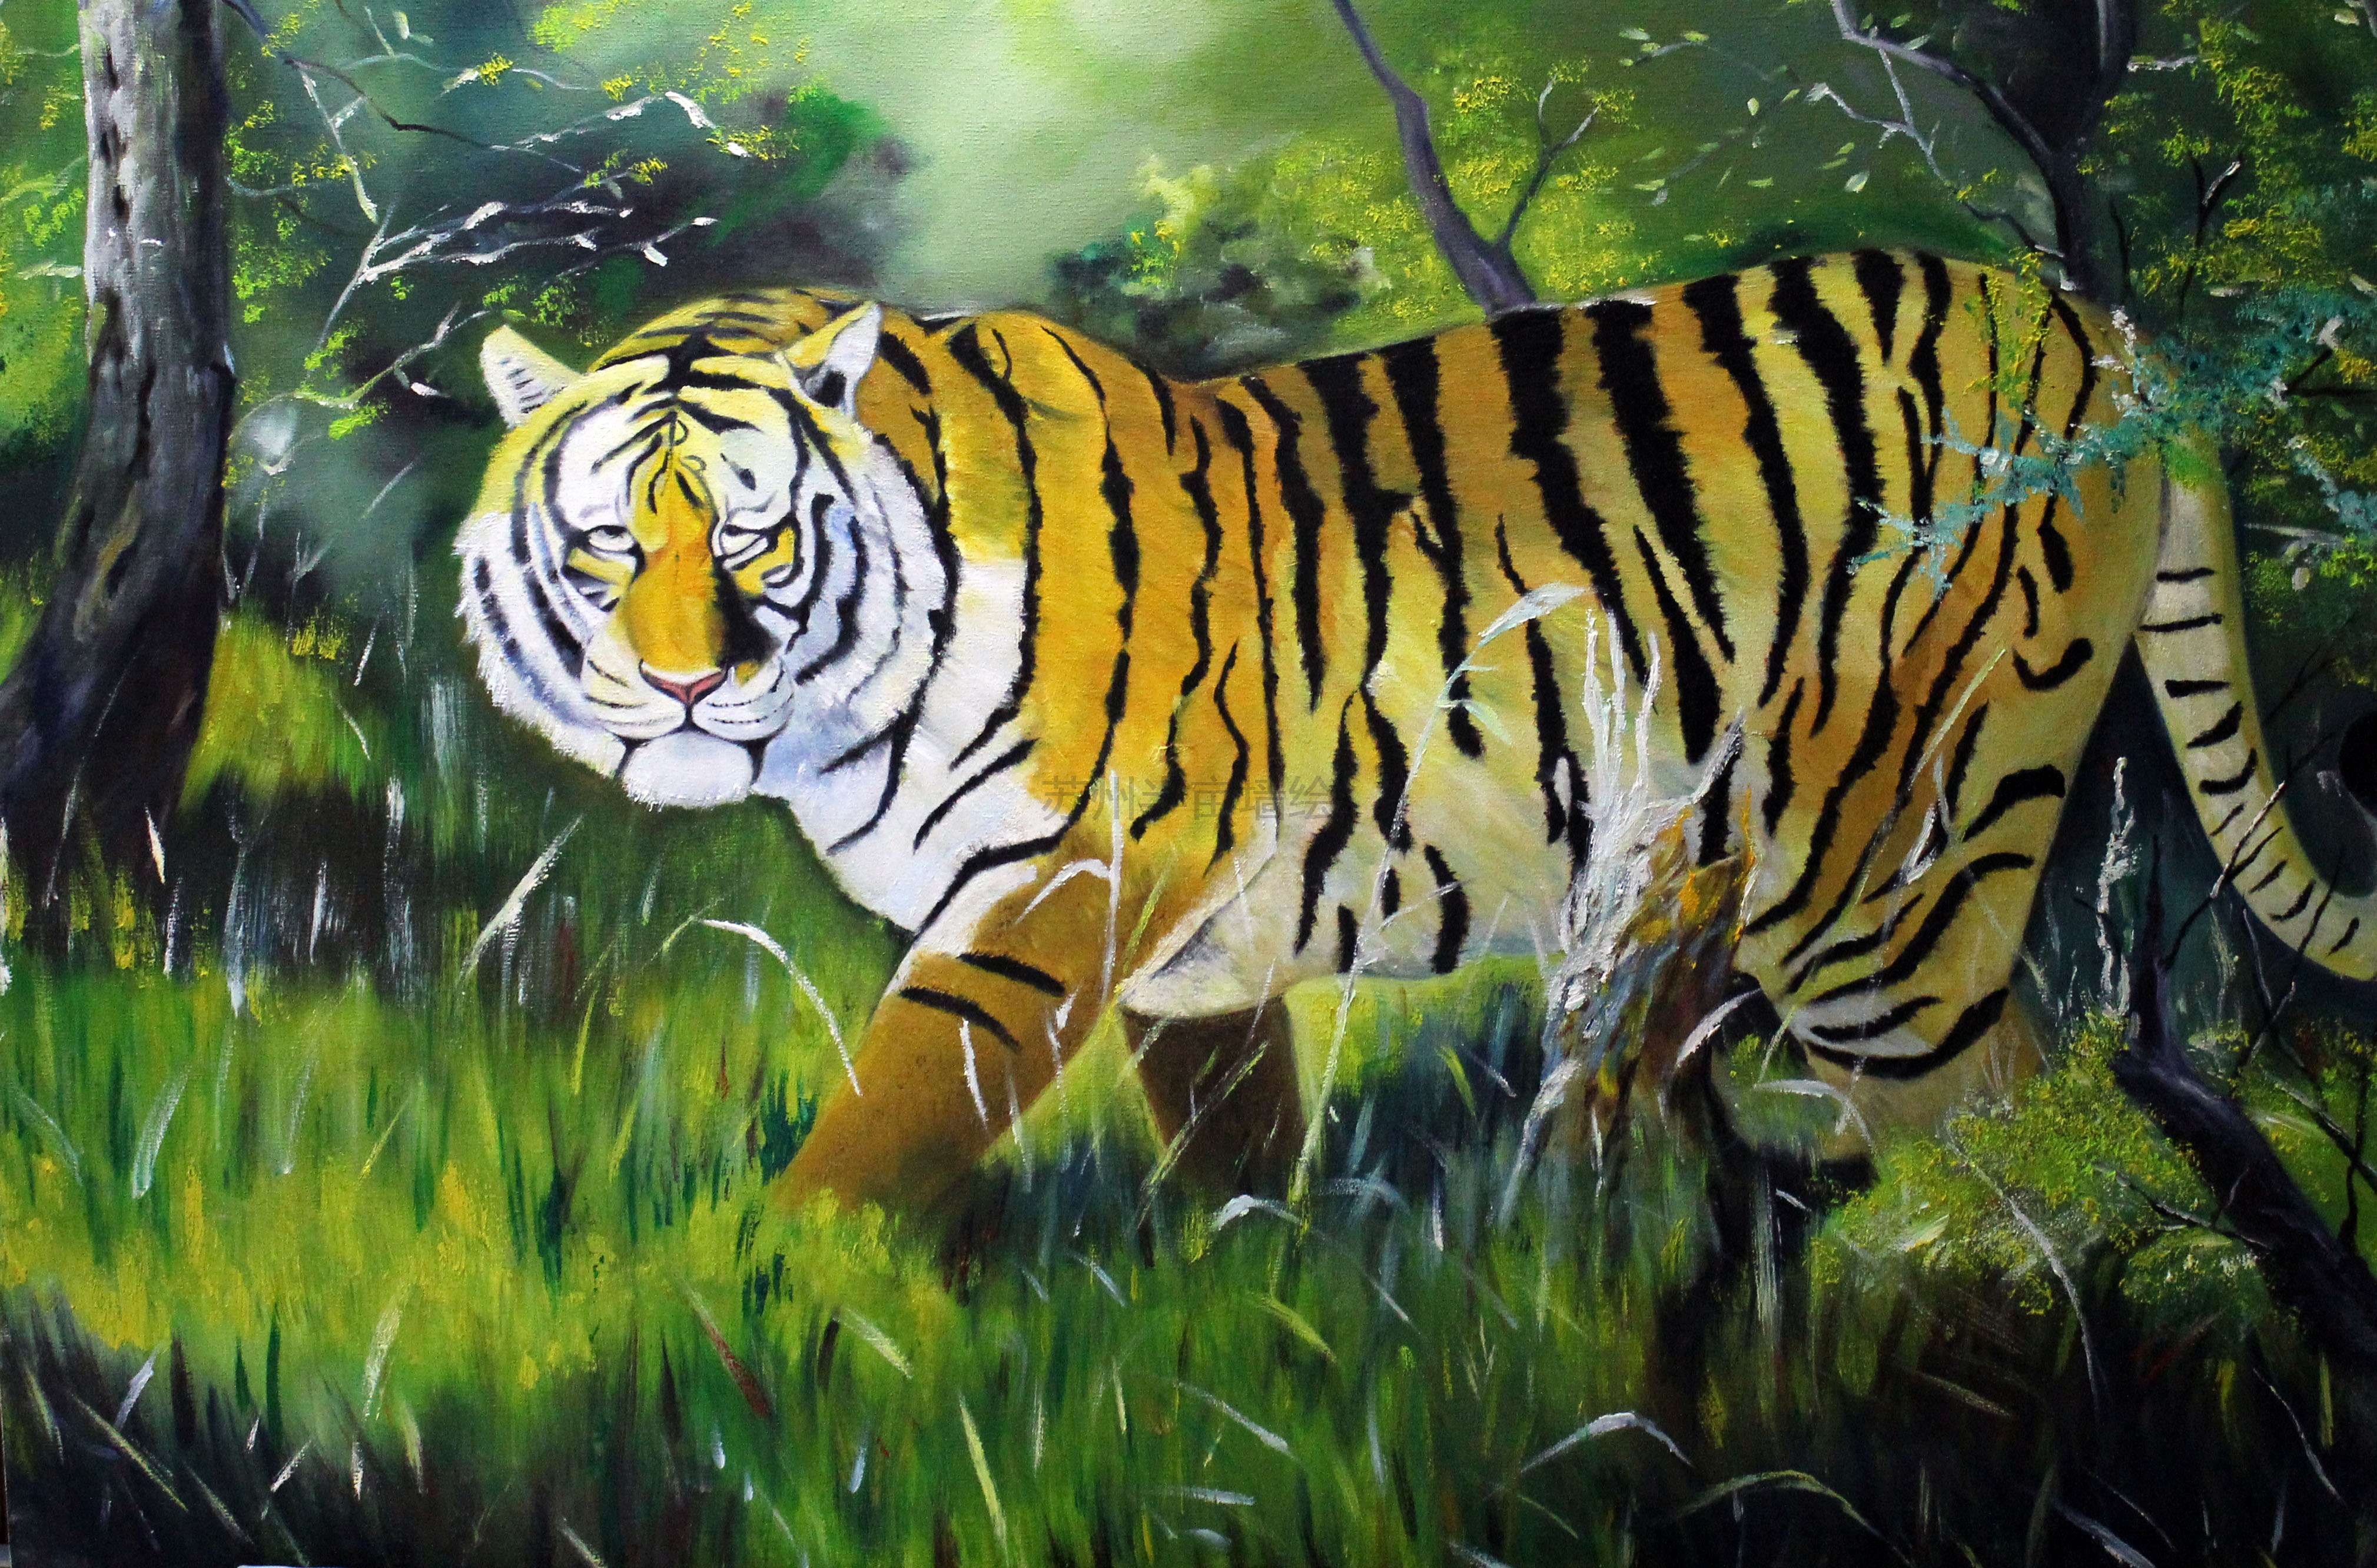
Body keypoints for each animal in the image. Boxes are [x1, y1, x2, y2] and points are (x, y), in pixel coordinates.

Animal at [460, 249, 2377, 1216]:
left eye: (753, 540)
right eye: (607, 542)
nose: (681, 688)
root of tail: (2080, 310)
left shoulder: (1050, 889)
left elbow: (881, 1124)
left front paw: (765, 1289)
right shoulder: (1194, 968)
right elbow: (1234, 1152)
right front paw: (1231, 1305)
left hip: (1879, 872)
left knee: (2000, 1123)